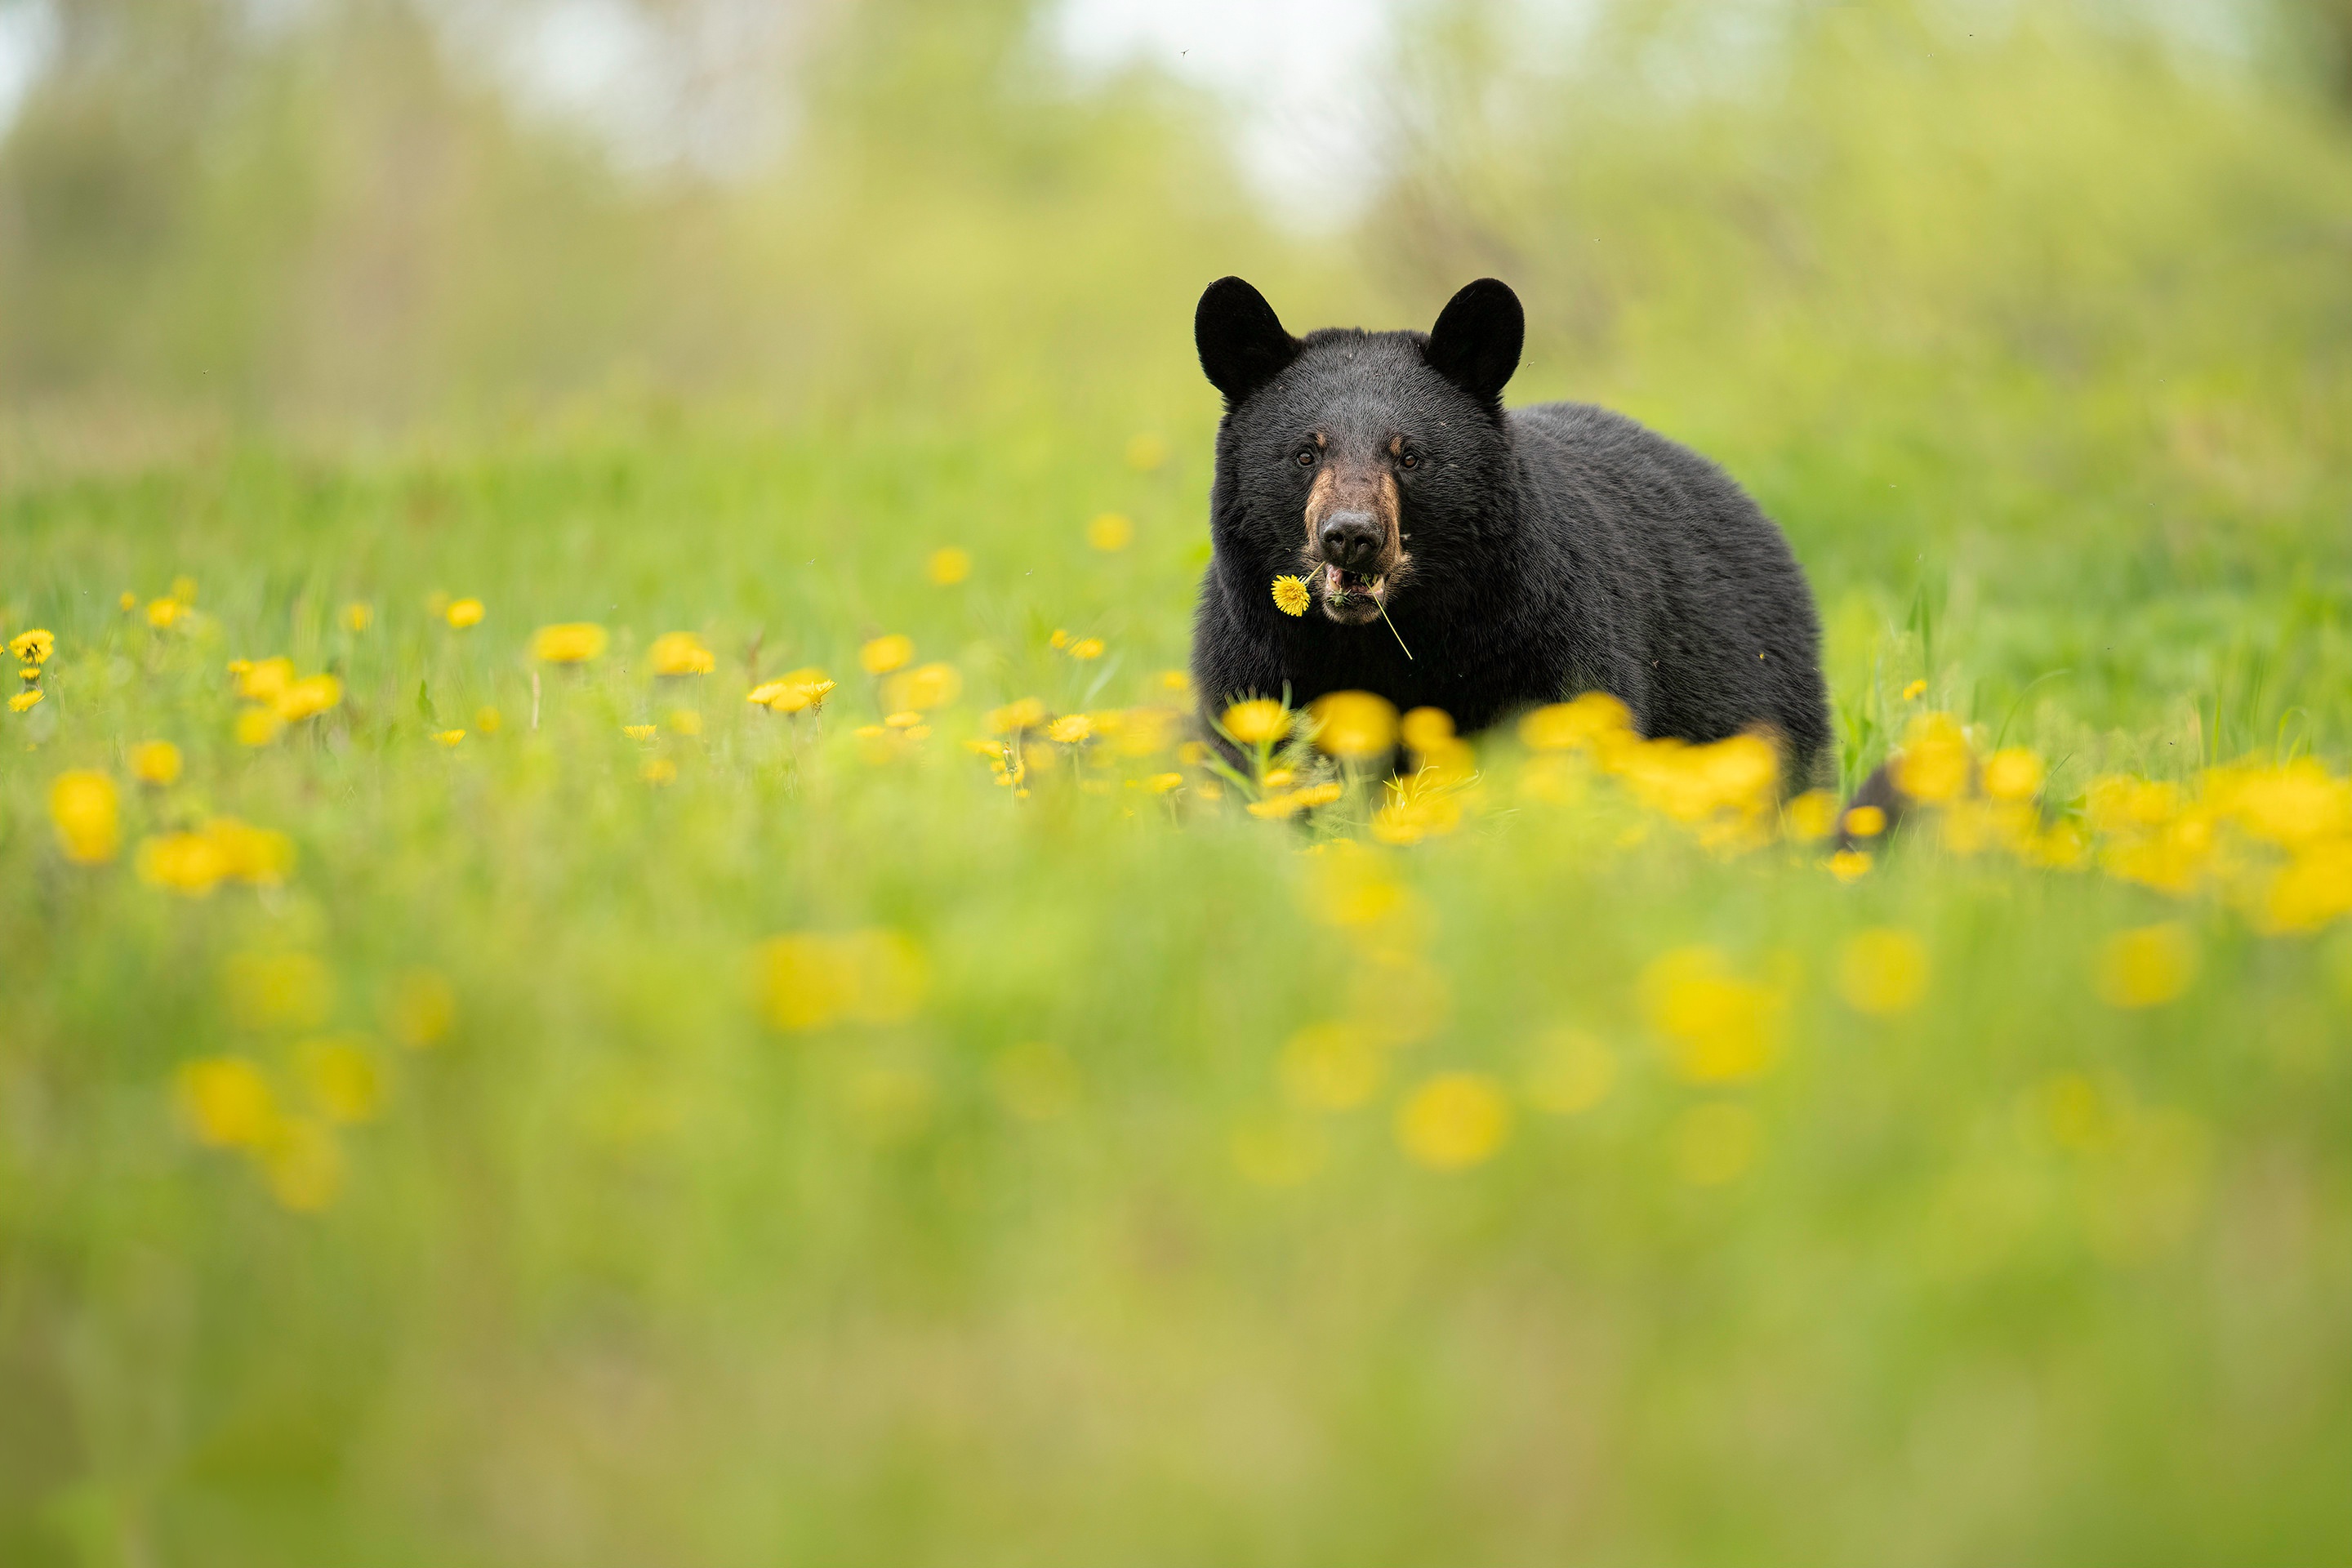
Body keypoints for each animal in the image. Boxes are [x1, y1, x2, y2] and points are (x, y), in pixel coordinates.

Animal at [1185, 277, 1824, 790]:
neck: (1384, 640)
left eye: (1410, 455)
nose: (1351, 535)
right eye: (1305, 453)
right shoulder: (1253, 662)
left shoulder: (1544, 638)